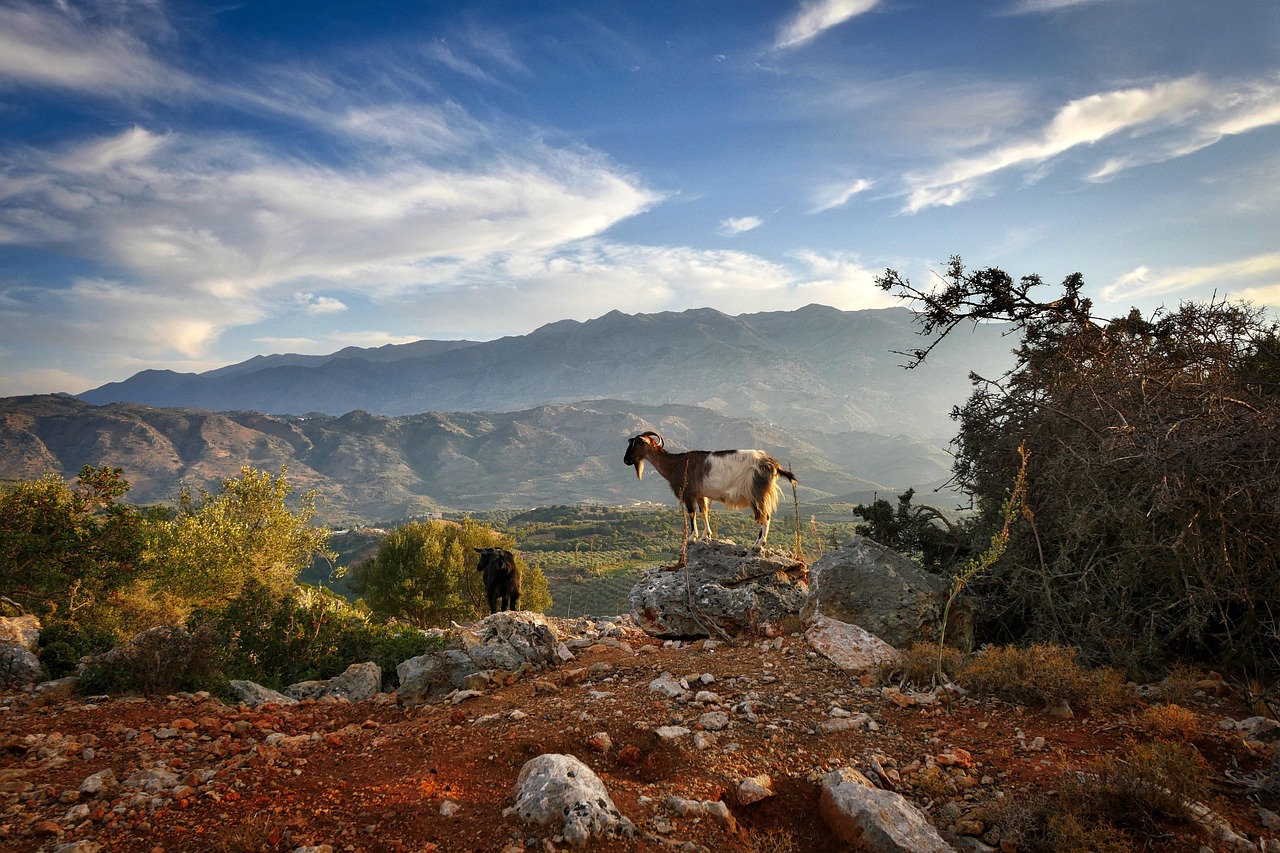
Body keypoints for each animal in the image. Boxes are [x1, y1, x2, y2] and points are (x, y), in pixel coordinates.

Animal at [623, 431, 796, 551]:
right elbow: (703, 512)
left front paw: (691, 538)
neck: (675, 464)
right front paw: (705, 536)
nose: (625, 460)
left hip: (757, 492)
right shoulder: (700, 494)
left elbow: (692, 513)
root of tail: (774, 465)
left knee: (764, 517)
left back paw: (758, 545)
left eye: (636, 443)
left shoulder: (688, 493)